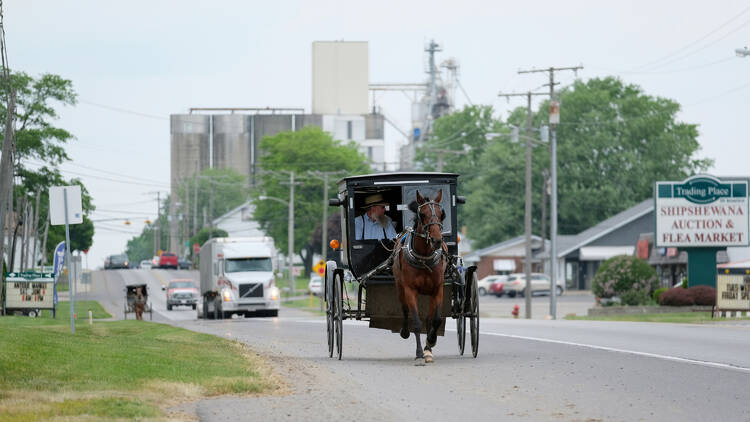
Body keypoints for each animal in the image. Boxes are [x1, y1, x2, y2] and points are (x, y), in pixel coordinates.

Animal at [394, 190, 446, 364]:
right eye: (422, 214)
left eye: (442, 214)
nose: (437, 240)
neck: (424, 258)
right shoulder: (410, 290)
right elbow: (416, 322)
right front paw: (418, 353)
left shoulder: (438, 289)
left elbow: (435, 319)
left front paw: (430, 343)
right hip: (399, 286)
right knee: (404, 309)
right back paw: (404, 331)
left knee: (430, 319)